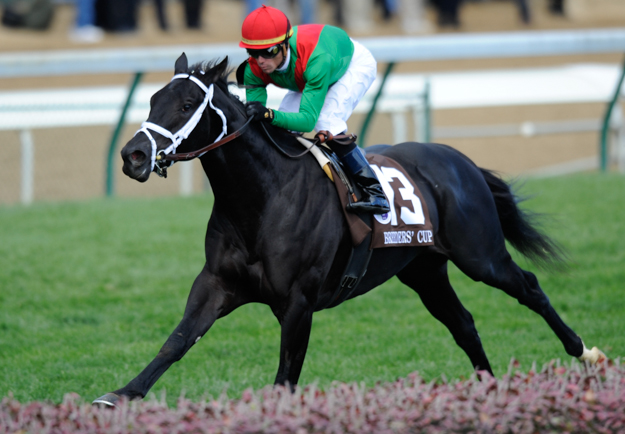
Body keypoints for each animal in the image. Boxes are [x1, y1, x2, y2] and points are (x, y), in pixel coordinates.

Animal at [90, 54, 604, 406]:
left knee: (528, 287)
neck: (261, 199)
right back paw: (490, 392)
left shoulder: (298, 302)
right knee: (463, 324)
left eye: (187, 103)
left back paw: (585, 352)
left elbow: (286, 376)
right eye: (153, 100)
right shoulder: (216, 284)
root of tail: (457, 158)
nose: (133, 155)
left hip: (480, 255)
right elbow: (176, 341)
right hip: (424, 270)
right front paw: (119, 395)